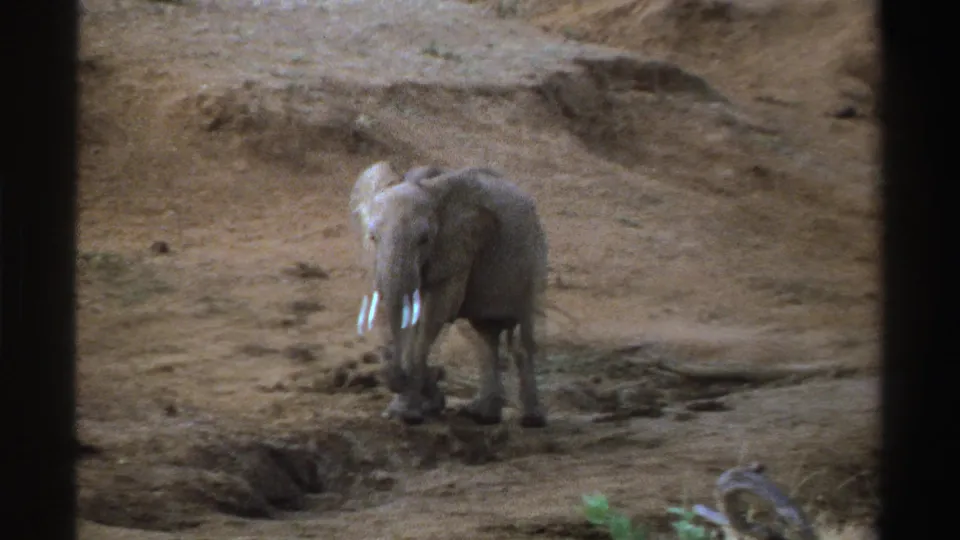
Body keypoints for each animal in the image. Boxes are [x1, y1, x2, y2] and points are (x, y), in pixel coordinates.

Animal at [349, 161, 548, 428]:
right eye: (372, 237)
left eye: (424, 240)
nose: (437, 378)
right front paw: (416, 406)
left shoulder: (457, 250)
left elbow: (434, 312)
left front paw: (408, 415)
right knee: (484, 334)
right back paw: (483, 416)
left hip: (534, 261)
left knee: (521, 334)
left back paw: (531, 420)